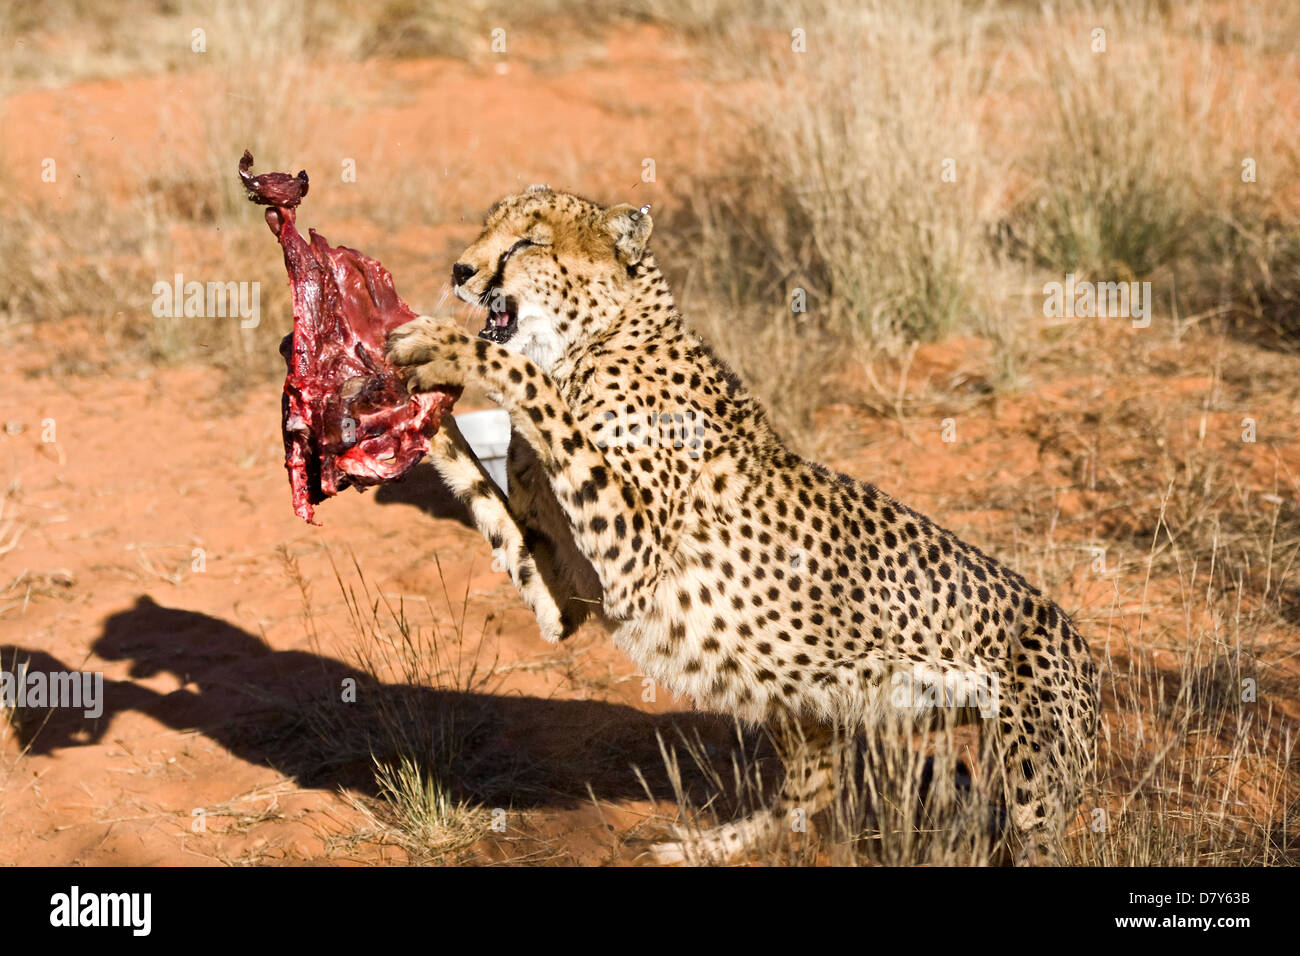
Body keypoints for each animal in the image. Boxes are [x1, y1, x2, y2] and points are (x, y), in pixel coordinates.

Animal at [385, 185, 1098, 865]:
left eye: (528, 241)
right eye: (486, 228)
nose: (460, 270)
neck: (593, 343)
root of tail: (1081, 642)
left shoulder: (631, 556)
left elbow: (528, 383)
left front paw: (446, 345)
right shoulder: (566, 603)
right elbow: (486, 494)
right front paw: (395, 397)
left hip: (1032, 782)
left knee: (1039, 843)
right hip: (806, 696)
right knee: (814, 791)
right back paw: (703, 847)